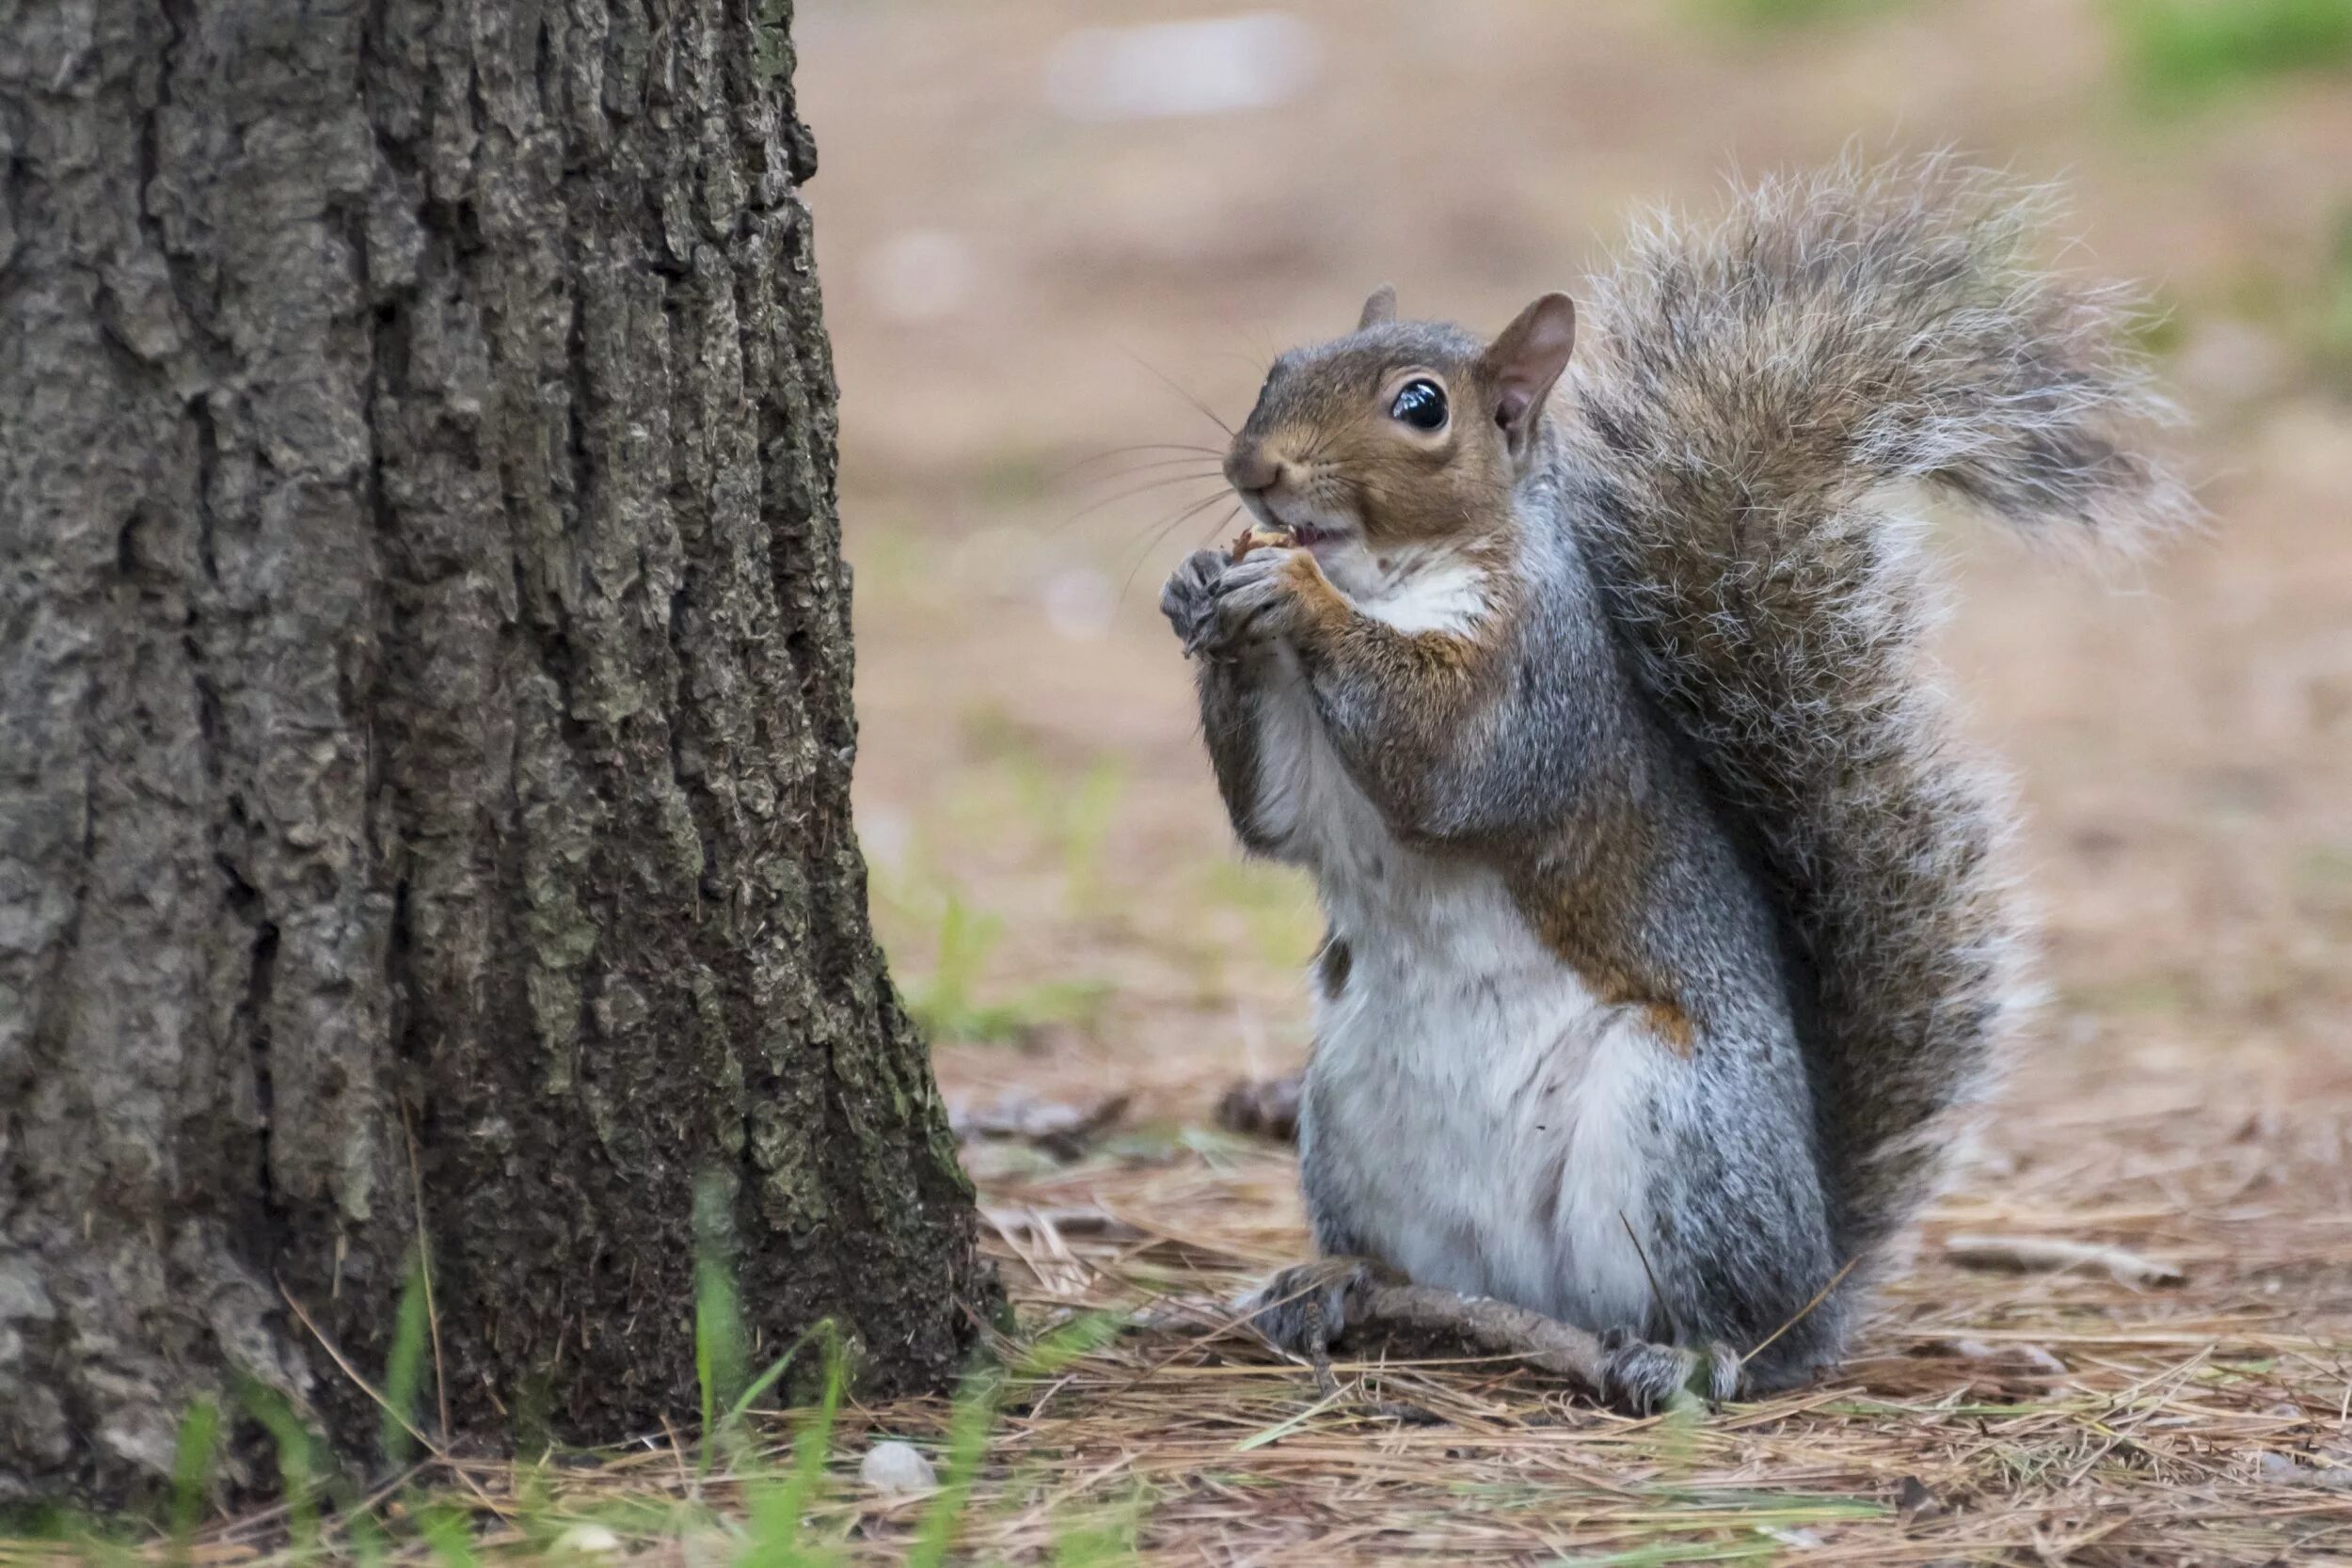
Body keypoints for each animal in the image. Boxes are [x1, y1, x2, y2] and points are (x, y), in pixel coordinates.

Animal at [1157, 156, 2183, 1410]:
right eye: (1277, 366)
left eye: (1421, 407)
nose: (1254, 471)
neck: (1390, 579)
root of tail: (1816, 1275)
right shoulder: (1305, 772)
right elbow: (1273, 816)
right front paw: (1202, 586)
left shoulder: (1538, 685)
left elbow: (1443, 758)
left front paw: (1294, 592)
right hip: (1343, 1110)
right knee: (1407, 1257)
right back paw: (1336, 1279)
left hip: (1679, 1128)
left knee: (1726, 1320)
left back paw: (1687, 1352)